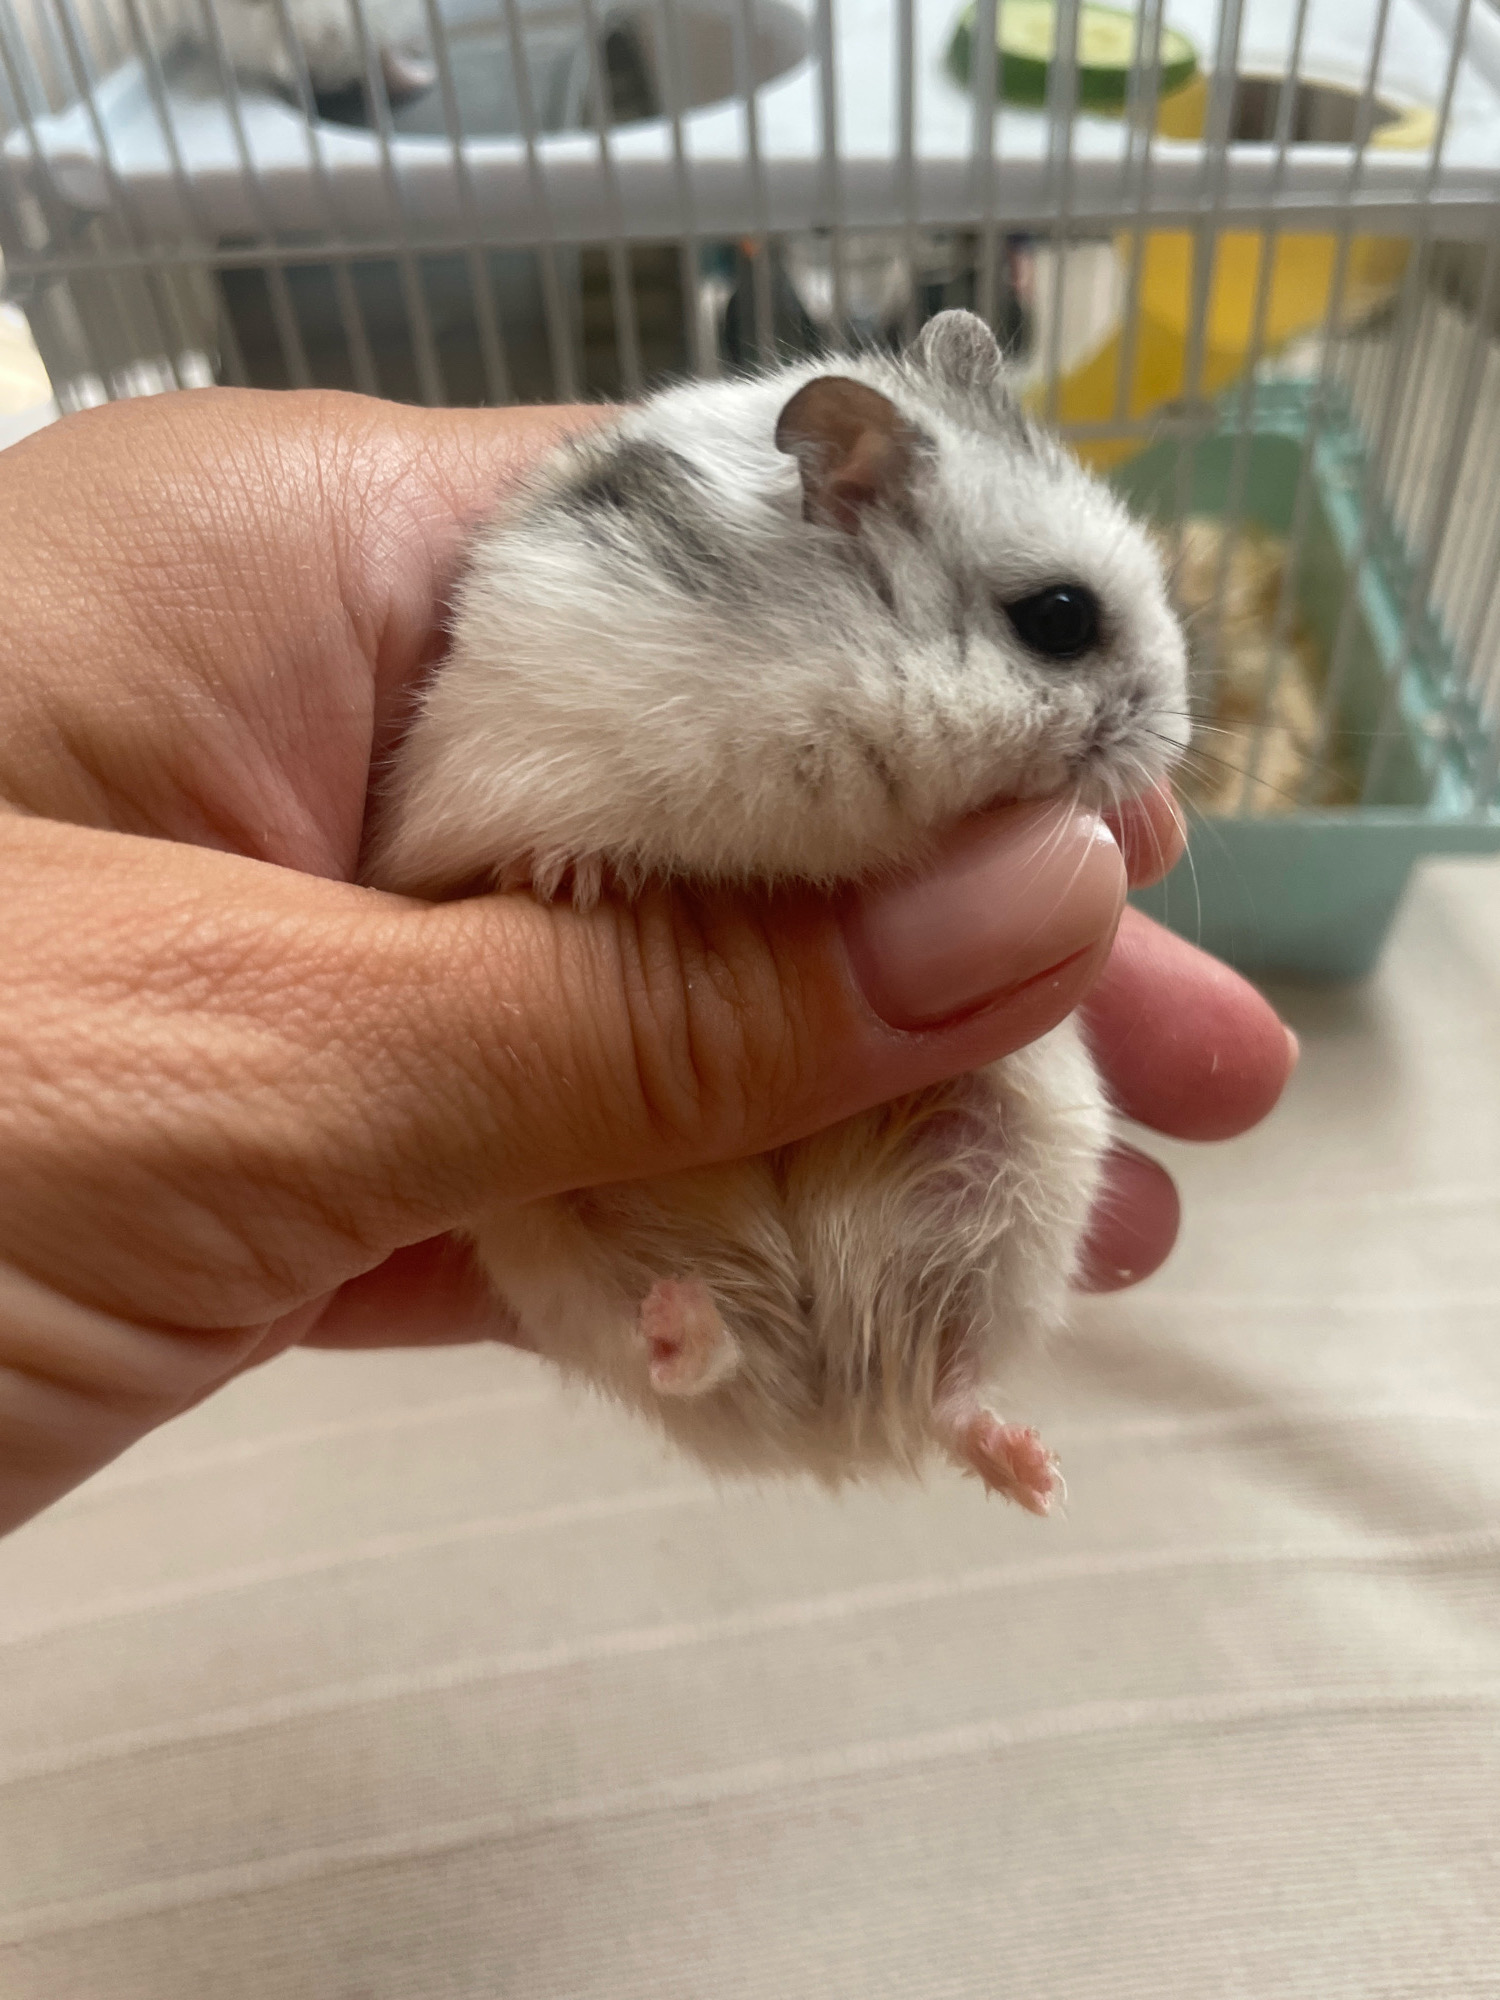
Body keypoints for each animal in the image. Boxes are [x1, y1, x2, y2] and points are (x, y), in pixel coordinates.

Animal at [373, 311, 1189, 1512]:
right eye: (1060, 619)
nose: (1175, 743)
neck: (841, 651)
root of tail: (837, 1421)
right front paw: (575, 878)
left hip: (1016, 1181)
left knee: (942, 1385)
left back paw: (1034, 1471)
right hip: (556, 1227)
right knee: (697, 1357)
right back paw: (686, 1319)